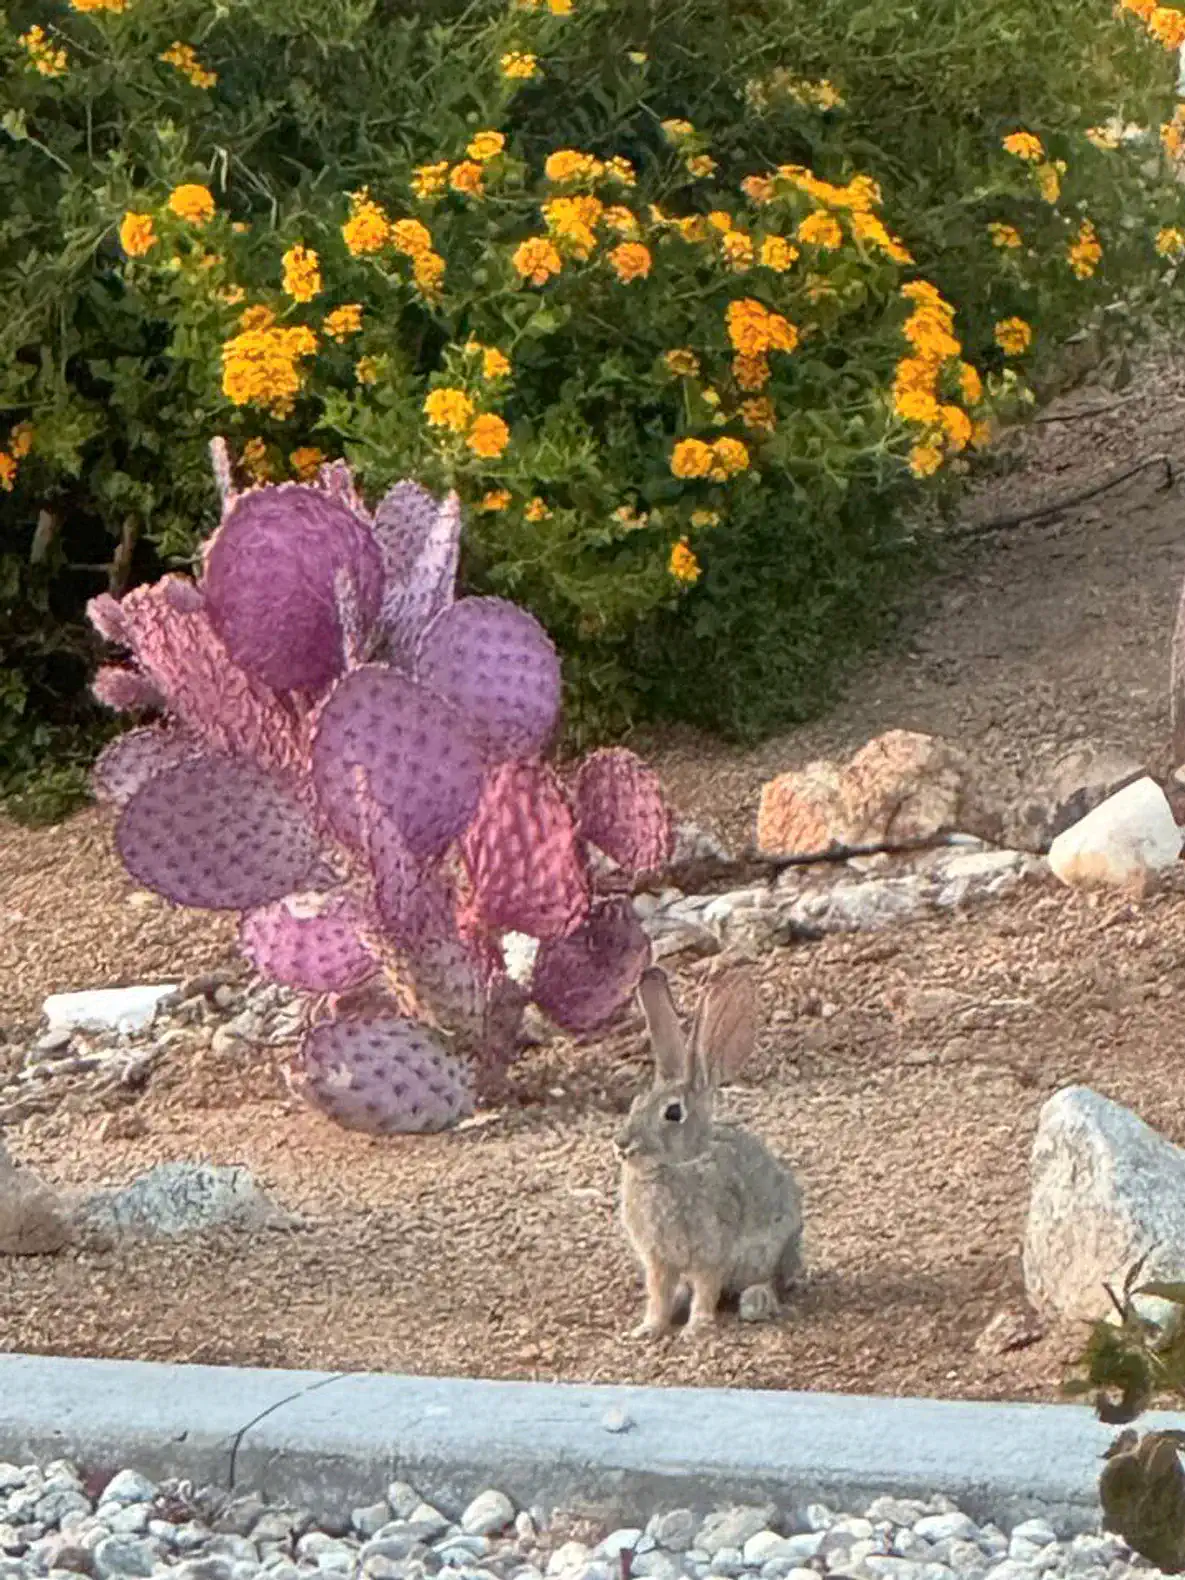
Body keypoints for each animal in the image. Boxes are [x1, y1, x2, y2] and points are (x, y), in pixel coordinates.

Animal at [615, 960, 803, 1338]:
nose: (622, 1145)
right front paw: (648, 1328)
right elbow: (658, 1293)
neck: (677, 1166)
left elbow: (707, 1287)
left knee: (770, 1282)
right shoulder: (658, 1259)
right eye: (635, 1103)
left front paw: (696, 1327)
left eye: (673, 1113)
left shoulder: (712, 1251)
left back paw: (756, 1301)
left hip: (773, 1252)